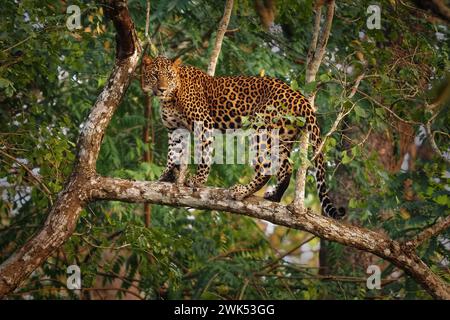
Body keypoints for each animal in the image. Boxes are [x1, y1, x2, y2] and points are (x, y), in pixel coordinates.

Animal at [141, 55, 344, 220]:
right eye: (155, 75)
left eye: (169, 75)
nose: (162, 89)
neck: (170, 98)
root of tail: (299, 97)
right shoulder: (174, 130)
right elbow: (173, 153)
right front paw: (166, 175)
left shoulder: (203, 123)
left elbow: (204, 154)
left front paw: (198, 180)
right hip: (281, 136)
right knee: (286, 166)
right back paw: (275, 196)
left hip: (261, 130)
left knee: (266, 168)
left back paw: (242, 191)